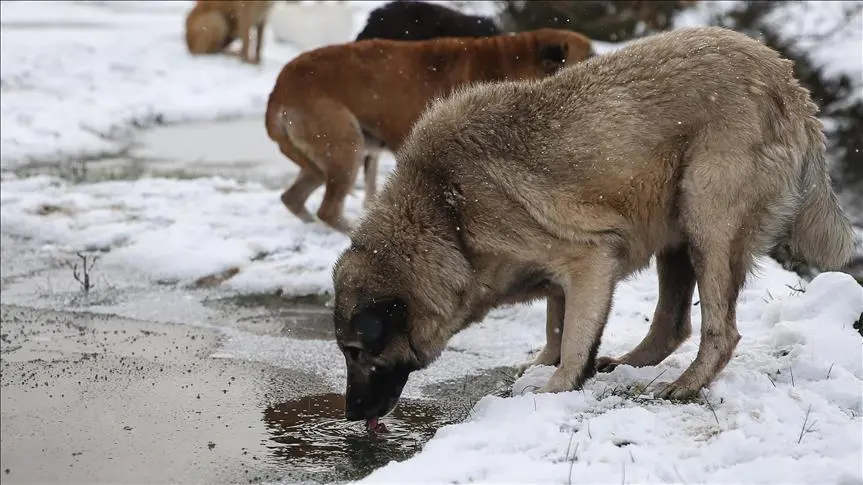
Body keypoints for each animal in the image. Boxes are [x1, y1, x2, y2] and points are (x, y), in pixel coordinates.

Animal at [266, 28, 596, 233]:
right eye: (589, 59)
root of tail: (280, 88)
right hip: (346, 147)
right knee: (328, 209)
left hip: (326, 157)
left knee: (294, 199)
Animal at [332, 25, 856, 424]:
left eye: (356, 352)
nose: (351, 415)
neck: (445, 213)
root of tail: (787, 79)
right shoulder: (563, 277)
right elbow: (557, 329)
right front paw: (540, 368)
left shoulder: (590, 260)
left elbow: (573, 340)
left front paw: (554, 388)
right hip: (678, 233)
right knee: (673, 324)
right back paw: (628, 364)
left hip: (707, 222)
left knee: (720, 333)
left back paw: (684, 386)